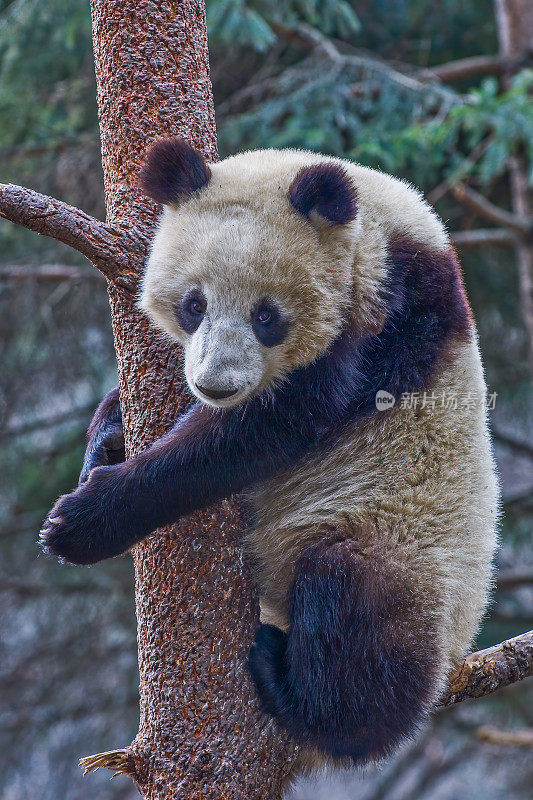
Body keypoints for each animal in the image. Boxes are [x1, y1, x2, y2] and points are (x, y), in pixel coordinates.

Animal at [40, 139, 498, 768]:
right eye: (193, 305)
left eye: (266, 316)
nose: (216, 385)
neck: (378, 231)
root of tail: (458, 647)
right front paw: (105, 440)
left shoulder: (384, 321)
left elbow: (266, 429)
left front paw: (83, 522)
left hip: (404, 542)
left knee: (354, 611)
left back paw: (295, 690)